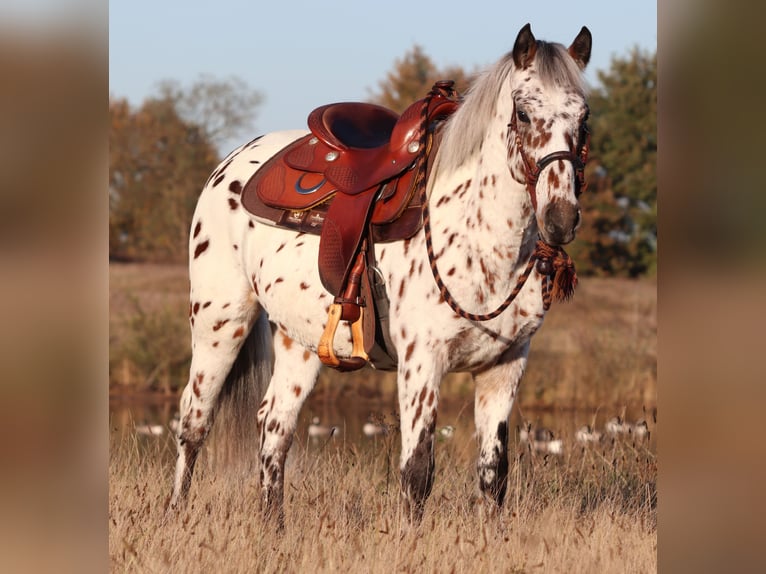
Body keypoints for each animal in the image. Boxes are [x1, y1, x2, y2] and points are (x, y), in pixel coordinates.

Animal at [171, 22, 596, 528]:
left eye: (584, 118)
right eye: (525, 113)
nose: (560, 219)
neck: (482, 242)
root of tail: (231, 162)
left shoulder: (504, 367)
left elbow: (494, 477)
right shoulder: (422, 364)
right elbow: (417, 474)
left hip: (299, 341)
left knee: (274, 427)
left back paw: (273, 529)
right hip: (219, 325)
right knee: (193, 423)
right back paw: (173, 516)